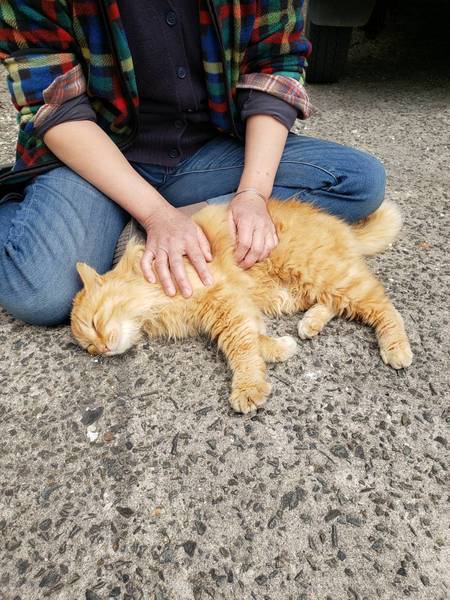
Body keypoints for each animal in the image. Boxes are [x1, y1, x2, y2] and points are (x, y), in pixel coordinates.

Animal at [71, 198, 413, 414]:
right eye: (89, 347)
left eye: (95, 324)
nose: (102, 350)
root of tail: (341, 227)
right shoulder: (235, 307)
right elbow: (255, 337)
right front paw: (279, 349)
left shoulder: (224, 301)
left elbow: (242, 348)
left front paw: (248, 388)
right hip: (296, 291)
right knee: (333, 304)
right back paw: (310, 323)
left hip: (320, 273)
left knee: (382, 305)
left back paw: (396, 347)